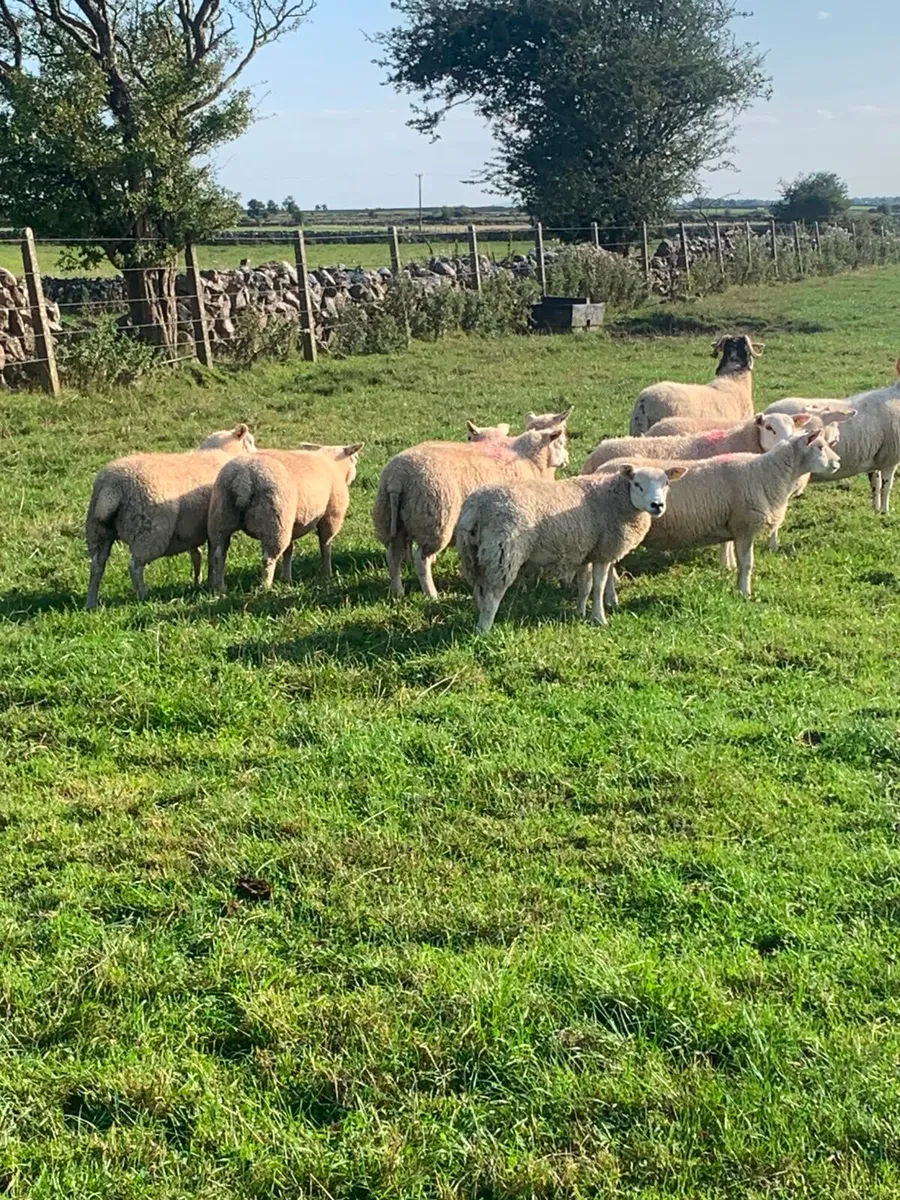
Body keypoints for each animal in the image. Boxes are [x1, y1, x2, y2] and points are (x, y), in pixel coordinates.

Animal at [85, 423, 256, 610]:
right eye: (250, 441)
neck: (222, 453)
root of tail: (112, 488)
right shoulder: (214, 527)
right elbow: (214, 557)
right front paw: (215, 585)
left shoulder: (192, 530)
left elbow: (196, 555)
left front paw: (198, 582)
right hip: (149, 532)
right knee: (134, 565)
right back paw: (143, 597)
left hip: (98, 531)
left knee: (97, 565)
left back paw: (91, 602)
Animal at [208, 443, 363, 592]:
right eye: (355, 458)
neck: (333, 465)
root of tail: (243, 479)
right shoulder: (330, 518)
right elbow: (326, 548)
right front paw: (327, 575)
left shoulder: (293, 524)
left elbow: (289, 550)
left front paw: (287, 578)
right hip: (275, 521)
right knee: (268, 558)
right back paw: (266, 587)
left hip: (221, 518)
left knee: (219, 554)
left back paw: (220, 587)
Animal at [373, 427, 570, 600]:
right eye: (559, 442)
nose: (567, 459)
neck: (530, 461)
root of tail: (397, 478)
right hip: (435, 521)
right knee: (421, 560)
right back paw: (432, 594)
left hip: (391, 519)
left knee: (393, 556)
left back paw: (397, 591)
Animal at [456, 464, 686, 632]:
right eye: (637, 484)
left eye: (666, 483)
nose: (657, 505)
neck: (615, 499)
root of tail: (478, 506)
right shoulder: (603, 553)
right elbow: (599, 586)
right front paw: (599, 619)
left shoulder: (585, 551)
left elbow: (585, 585)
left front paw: (580, 613)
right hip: (503, 553)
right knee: (493, 594)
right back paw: (484, 630)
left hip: (475, 554)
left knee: (479, 589)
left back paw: (478, 617)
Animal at [594, 427, 841, 602]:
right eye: (819, 447)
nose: (838, 462)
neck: (768, 474)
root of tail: (599, 469)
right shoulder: (744, 526)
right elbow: (747, 564)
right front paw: (744, 593)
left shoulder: (734, 526)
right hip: (616, 529)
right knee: (608, 568)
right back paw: (612, 599)